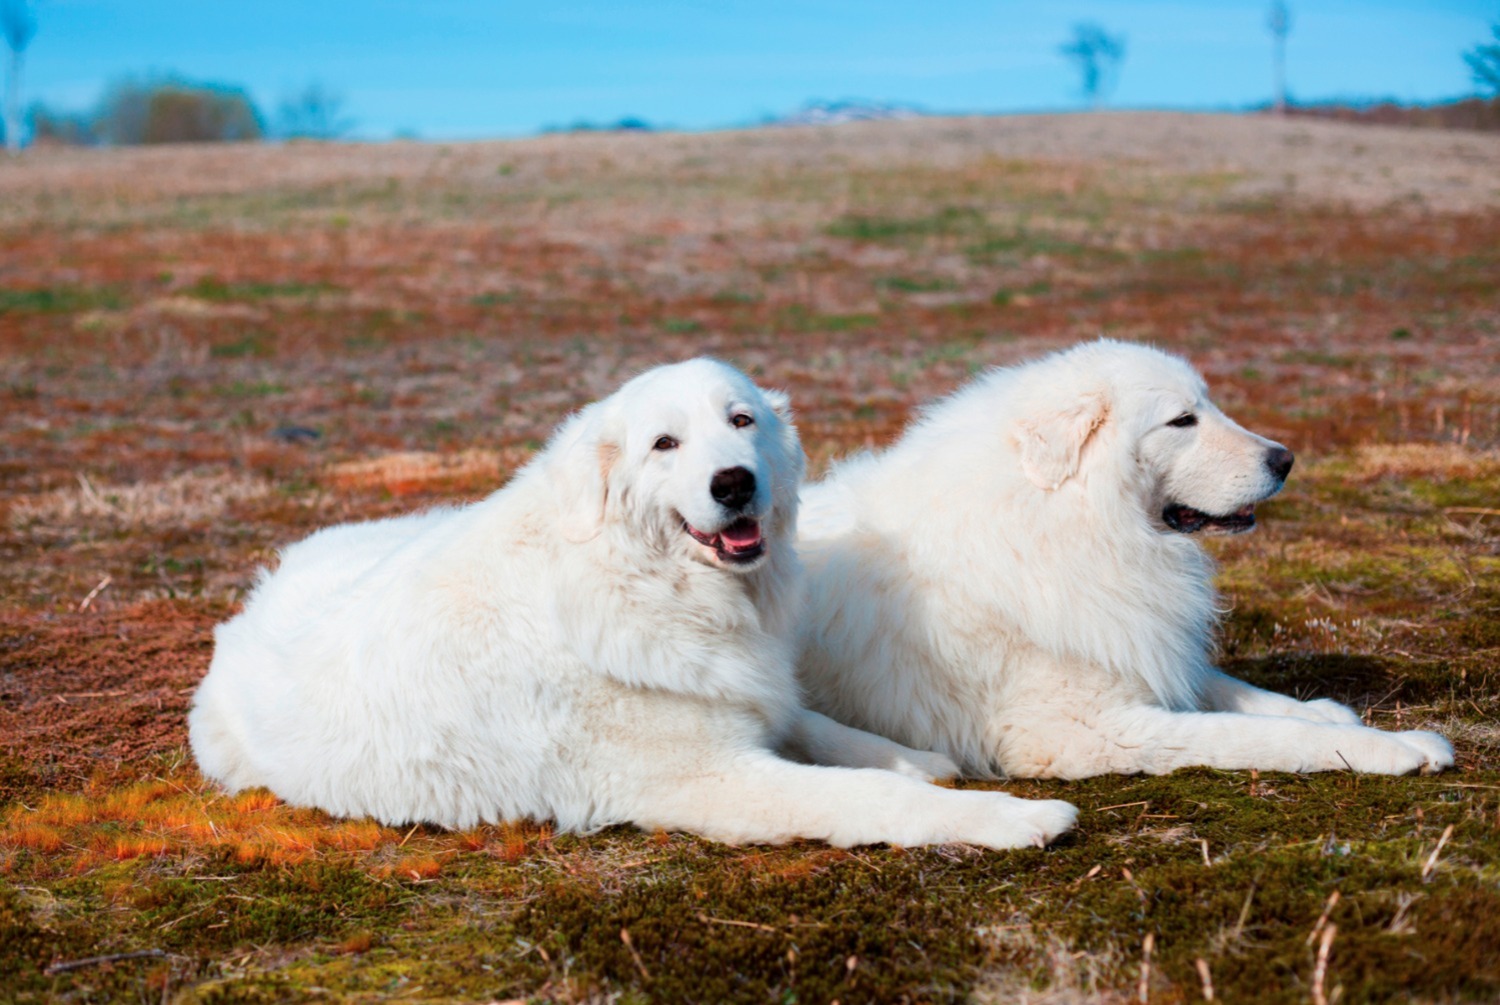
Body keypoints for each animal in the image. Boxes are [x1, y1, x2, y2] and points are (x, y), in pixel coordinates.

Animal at [190, 363, 1080, 852]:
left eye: (741, 420)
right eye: (665, 445)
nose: (735, 483)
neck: (640, 579)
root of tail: (249, 604)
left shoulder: (740, 691)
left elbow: (820, 725)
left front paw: (915, 757)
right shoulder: (706, 778)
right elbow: (864, 796)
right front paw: (1010, 816)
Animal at [798, 342, 1452, 786]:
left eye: (1207, 406)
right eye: (1182, 420)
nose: (1285, 459)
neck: (1063, 520)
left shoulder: (1134, 641)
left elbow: (1236, 691)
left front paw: (1330, 714)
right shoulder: (1084, 730)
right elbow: (1257, 734)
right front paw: (1396, 748)